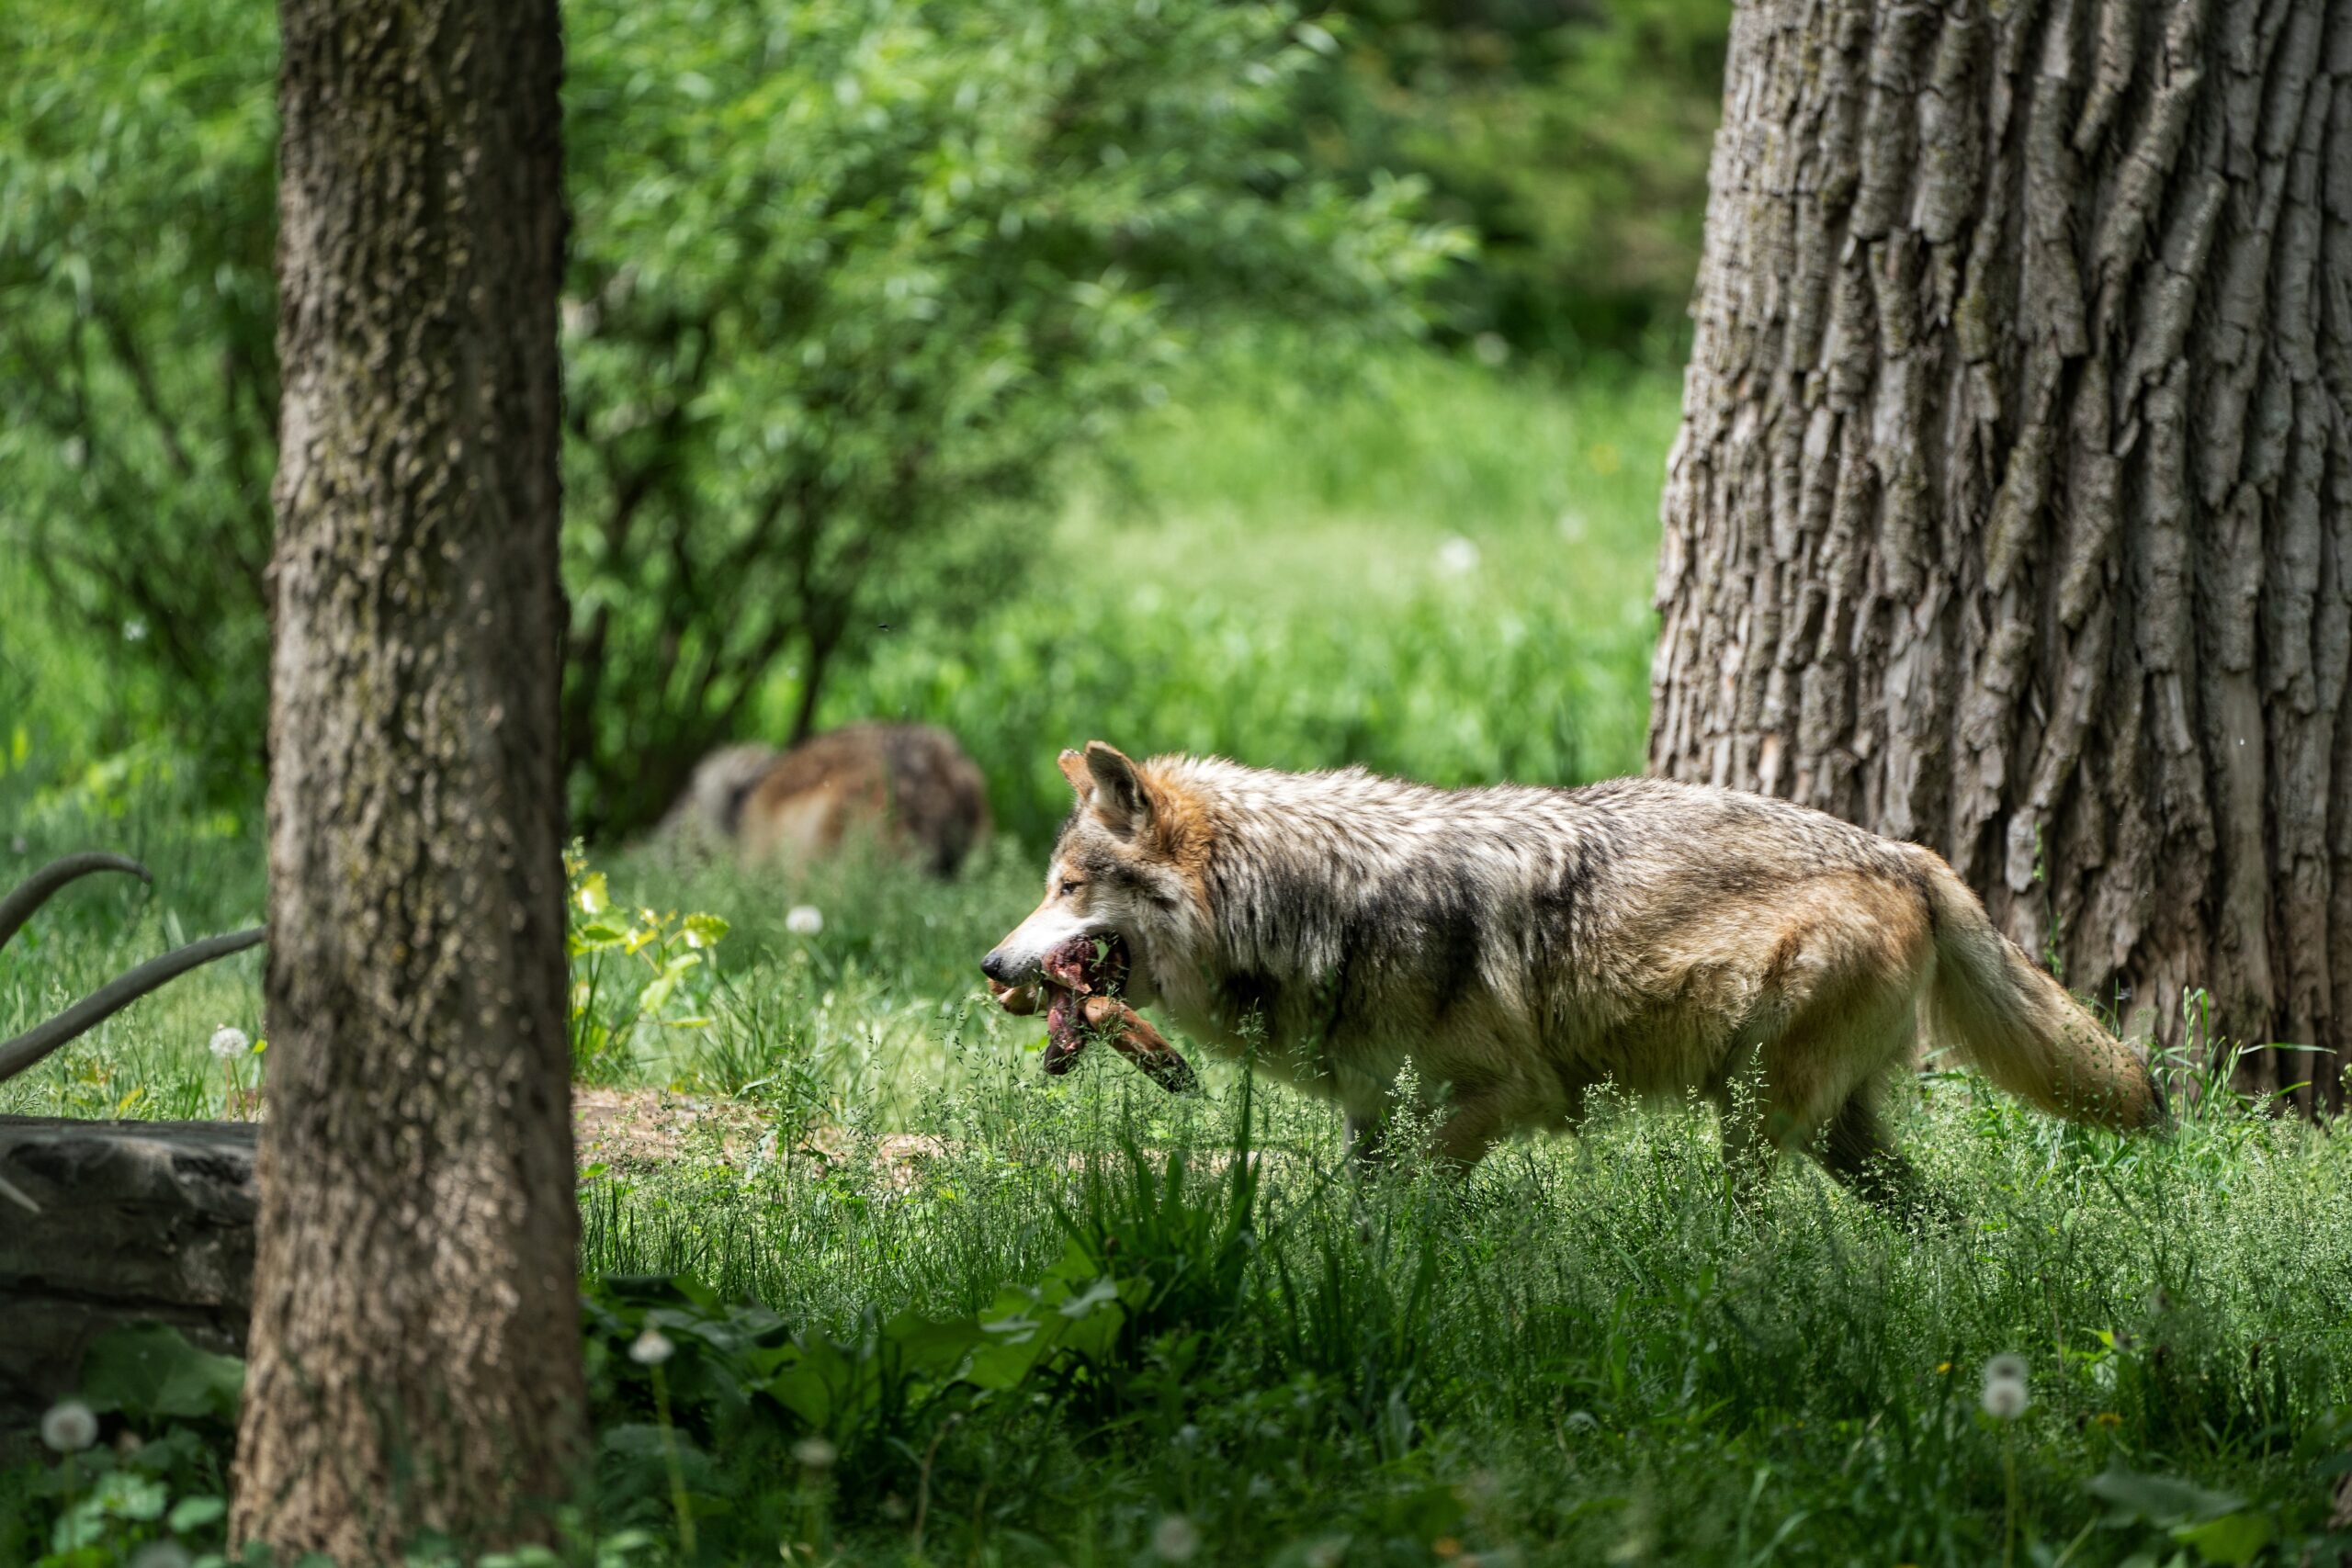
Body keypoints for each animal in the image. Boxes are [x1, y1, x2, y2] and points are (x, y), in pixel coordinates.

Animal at [978, 742, 2164, 1213]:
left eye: (1068, 887)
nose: (989, 964)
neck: (1318, 903)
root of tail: (1905, 853)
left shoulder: (1504, 1096)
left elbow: (1412, 1202)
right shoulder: (1374, 1112)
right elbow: (1356, 1206)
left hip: (1753, 1114)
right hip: (1836, 1135)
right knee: (1940, 1218)